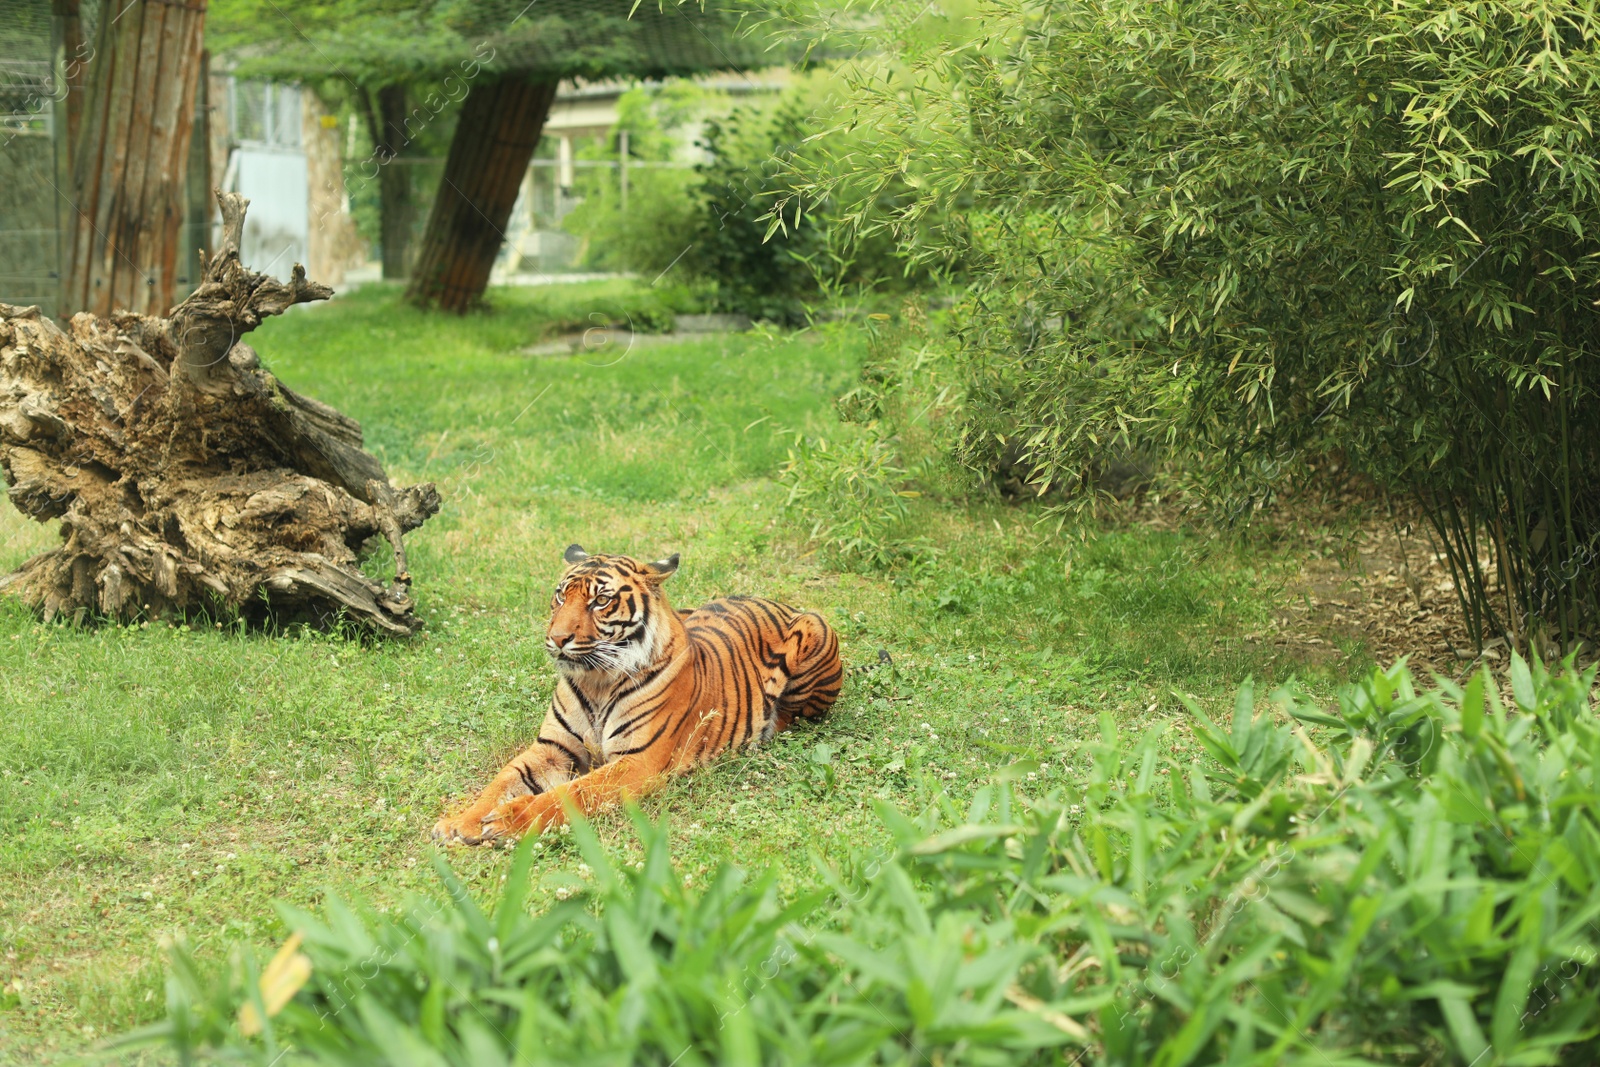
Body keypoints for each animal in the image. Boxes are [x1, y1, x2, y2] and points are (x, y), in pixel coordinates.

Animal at [425, 547, 851, 844]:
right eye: (561, 596)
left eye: (600, 600)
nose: (557, 639)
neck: (596, 680)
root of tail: (777, 600)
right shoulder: (552, 748)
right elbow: (501, 781)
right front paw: (460, 822)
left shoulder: (636, 762)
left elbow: (569, 794)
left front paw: (507, 821)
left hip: (815, 628)